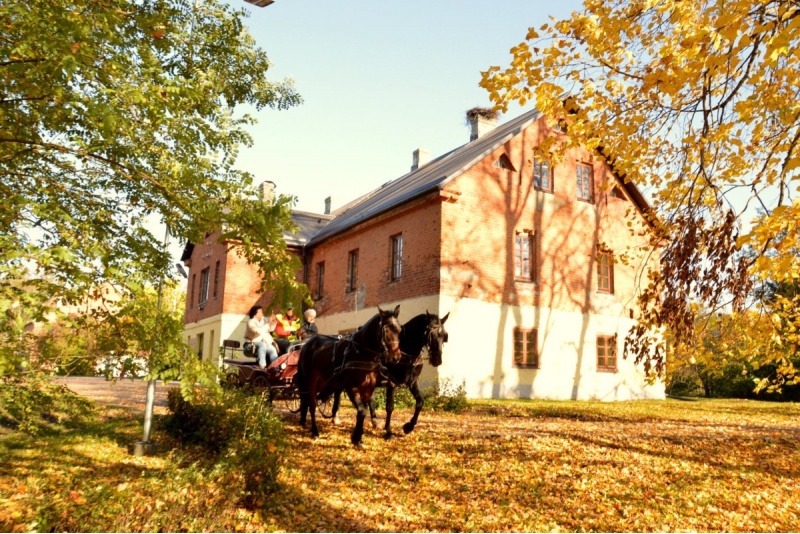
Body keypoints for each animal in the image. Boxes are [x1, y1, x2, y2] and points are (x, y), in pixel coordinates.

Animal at [296, 306, 404, 448]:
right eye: (386, 330)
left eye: (400, 330)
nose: (396, 358)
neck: (361, 353)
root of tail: (307, 344)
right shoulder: (351, 388)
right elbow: (362, 411)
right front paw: (356, 438)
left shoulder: (368, 389)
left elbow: (363, 411)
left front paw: (358, 436)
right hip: (310, 381)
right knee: (312, 405)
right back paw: (314, 431)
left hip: (323, 382)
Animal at [328, 312, 446, 442]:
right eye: (431, 334)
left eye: (444, 336)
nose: (438, 360)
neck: (405, 351)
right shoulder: (391, 383)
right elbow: (390, 407)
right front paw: (389, 432)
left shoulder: (413, 381)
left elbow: (420, 402)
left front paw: (408, 427)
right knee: (338, 394)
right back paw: (335, 416)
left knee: (370, 400)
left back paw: (374, 421)